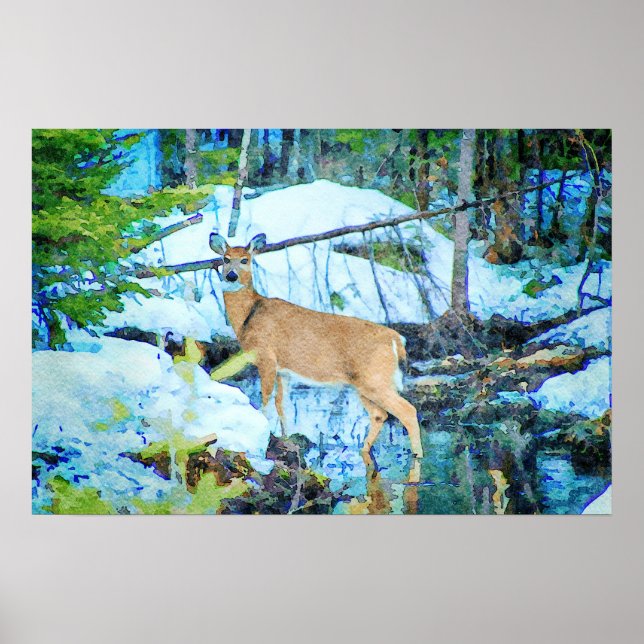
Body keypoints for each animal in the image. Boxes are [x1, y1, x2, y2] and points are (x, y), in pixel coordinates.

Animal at [208, 232, 424, 459]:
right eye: (225, 259)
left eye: (245, 260)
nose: (231, 276)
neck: (248, 316)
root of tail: (396, 340)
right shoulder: (282, 370)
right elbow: (282, 405)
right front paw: (286, 437)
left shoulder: (265, 355)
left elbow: (265, 400)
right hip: (365, 382)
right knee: (379, 414)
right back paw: (363, 450)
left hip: (375, 378)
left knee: (407, 411)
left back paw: (417, 455)